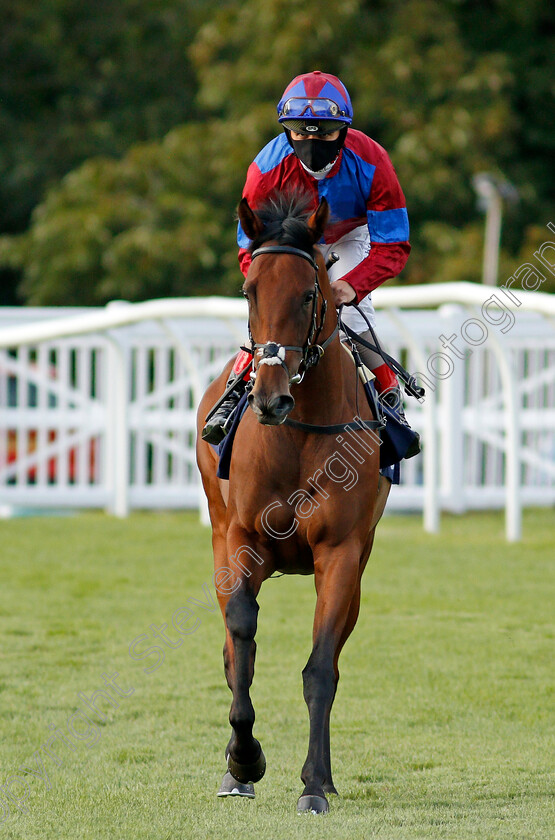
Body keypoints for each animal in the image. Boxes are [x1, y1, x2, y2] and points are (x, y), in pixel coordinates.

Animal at [195, 192, 390, 812]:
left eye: (309, 294)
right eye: (249, 290)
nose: (271, 398)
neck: (298, 435)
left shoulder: (341, 553)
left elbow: (321, 668)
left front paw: (314, 783)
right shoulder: (241, 541)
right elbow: (241, 645)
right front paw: (243, 760)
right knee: (233, 650)